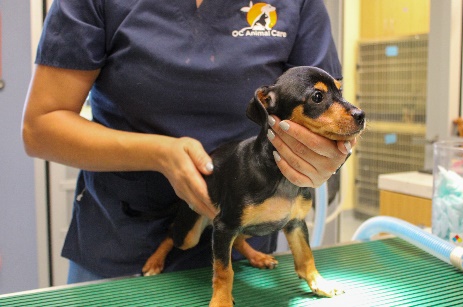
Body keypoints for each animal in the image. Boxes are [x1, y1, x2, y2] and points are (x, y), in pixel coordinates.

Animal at [143, 67, 368, 307]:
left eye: (340, 91)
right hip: (191, 232)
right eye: (318, 97)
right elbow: (224, 270)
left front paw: (319, 283)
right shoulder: (224, 226)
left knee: (239, 240)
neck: (281, 177)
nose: (361, 115)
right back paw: (154, 262)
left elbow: (306, 256)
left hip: (253, 226)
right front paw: (221, 300)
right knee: (171, 234)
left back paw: (258, 257)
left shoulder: (295, 224)